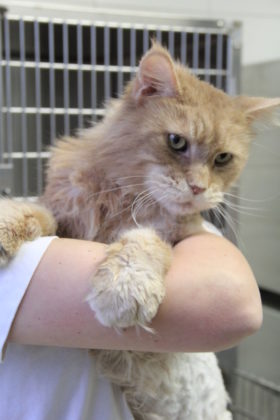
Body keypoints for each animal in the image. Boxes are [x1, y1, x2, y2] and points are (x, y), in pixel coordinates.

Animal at [0, 43, 280, 420]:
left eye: (222, 159)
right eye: (176, 142)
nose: (198, 189)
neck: (123, 198)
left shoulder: (172, 232)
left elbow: (143, 242)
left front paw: (124, 287)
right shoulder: (63, 213)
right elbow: (36, 212)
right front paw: (7, 225)